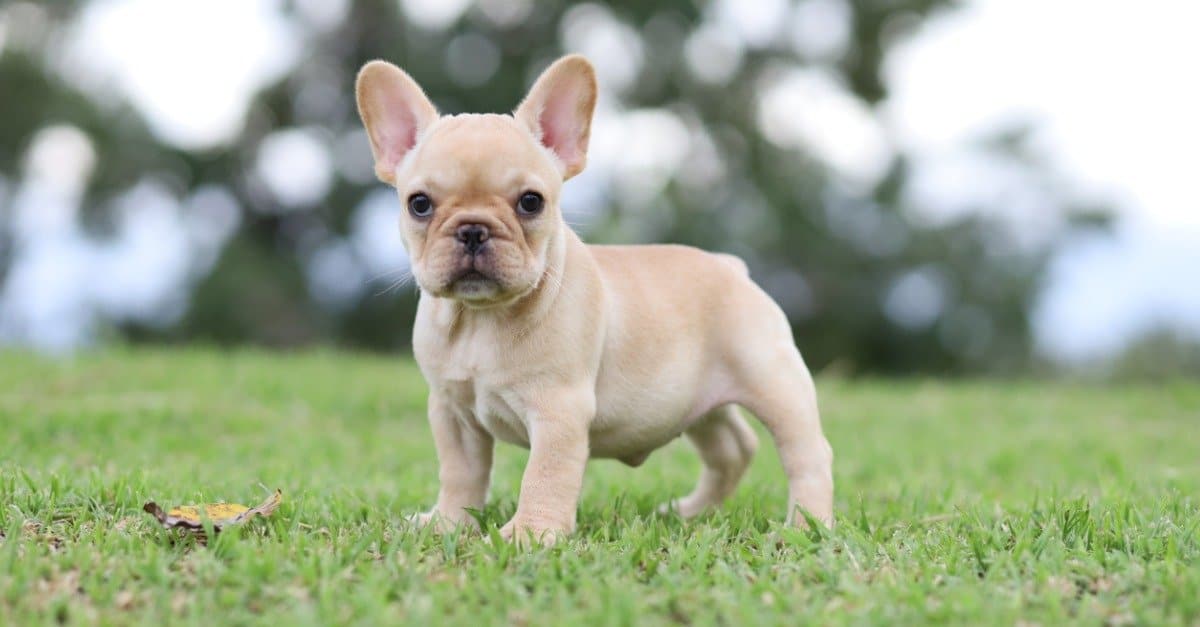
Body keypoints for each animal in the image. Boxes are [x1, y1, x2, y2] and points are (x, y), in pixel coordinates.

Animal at [350, 54, 830, 540]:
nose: (472, 229)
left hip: (774, 381)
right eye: (419, 204)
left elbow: (544, 475)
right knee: (732, 447)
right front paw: (447, 523)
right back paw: (689, 513)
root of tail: (731, 265)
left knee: (806, 453)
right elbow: (460, 472)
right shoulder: (452, 413)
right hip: (696, 403)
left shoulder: (559, 411)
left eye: (531, 202)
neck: (481, 318)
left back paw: (804, 525)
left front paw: (528, 535)